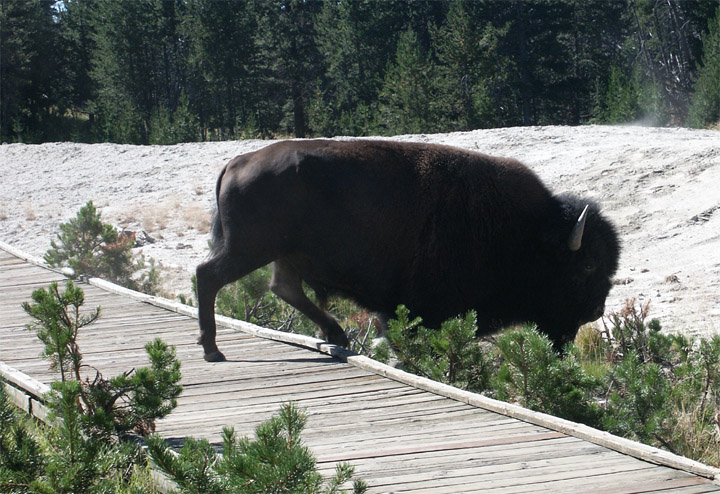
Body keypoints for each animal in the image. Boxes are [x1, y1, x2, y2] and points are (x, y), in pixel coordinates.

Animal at [196, 139, 620, 362]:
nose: (595, 310)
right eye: (587, 267)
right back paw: (212, 350)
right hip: (250, 248)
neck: (528, 233)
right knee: (208, 276)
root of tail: (237, 161)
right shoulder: (415, 307)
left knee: (283, 287)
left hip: (280, 254)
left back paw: (336, 335)